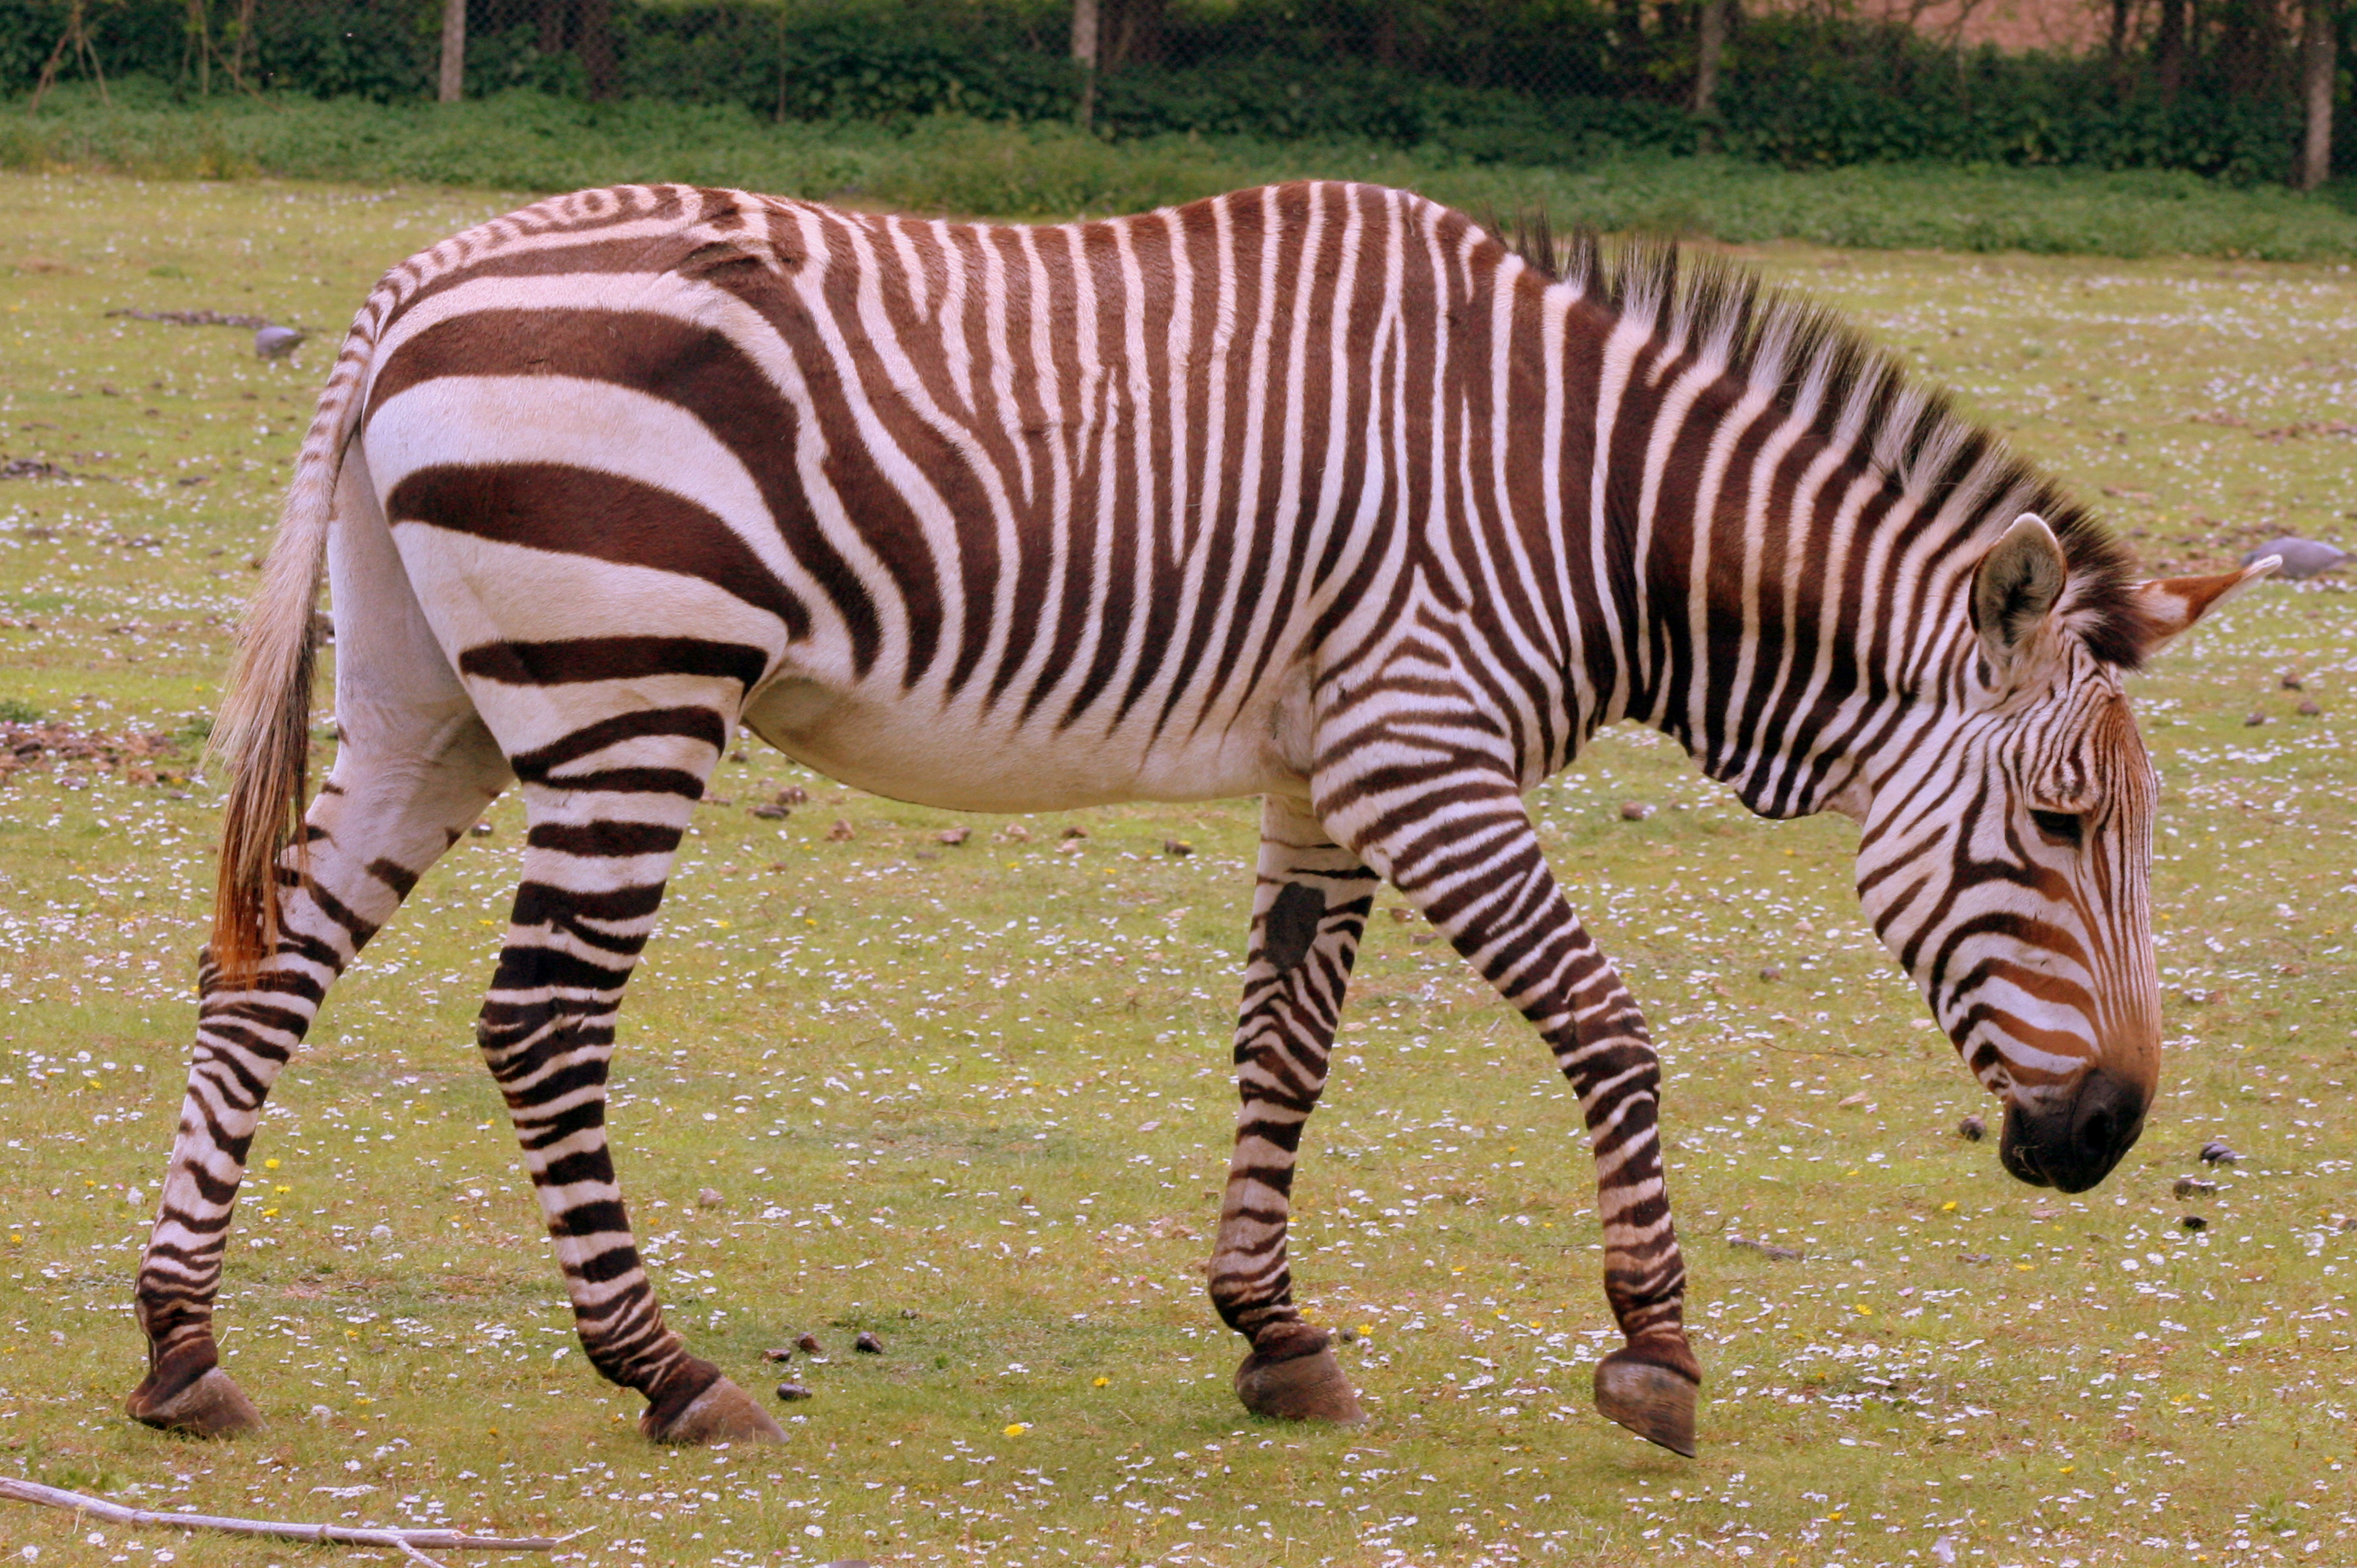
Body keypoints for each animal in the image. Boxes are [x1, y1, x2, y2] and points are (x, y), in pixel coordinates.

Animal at [129, 180, 2270, 1460]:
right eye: (2063, 828)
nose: (2105, 1134)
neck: (1580, 497)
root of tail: (417, 281)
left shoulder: (1328, 767)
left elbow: (1284, 1046)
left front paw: (1273, 1329)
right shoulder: (1426, 747)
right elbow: (1606, 1027)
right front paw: (1656, 1349)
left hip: (431, 700)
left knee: (258, 977)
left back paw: (182, 1344)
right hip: (627, 691)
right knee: (540, 1020)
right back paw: (664, 1367)